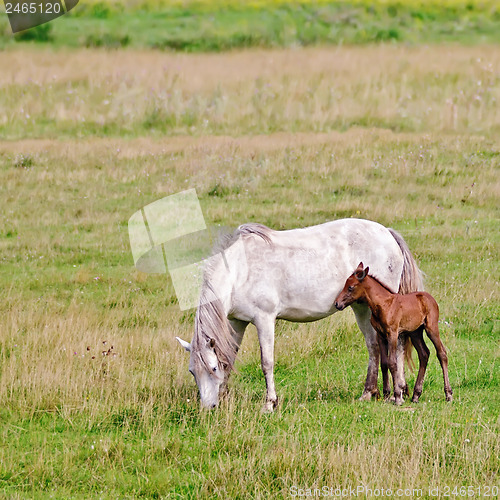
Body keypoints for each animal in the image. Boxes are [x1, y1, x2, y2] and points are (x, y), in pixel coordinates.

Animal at [176, 219, 422, 410]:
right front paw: (225, 395)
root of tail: (387, 233)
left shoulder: (264, 320)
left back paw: (398, 392)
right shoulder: (236, 322)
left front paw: (270, 403)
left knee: (397, 345)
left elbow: (267, 362)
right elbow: (229, 357)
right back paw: (369, 392)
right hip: (362, 308)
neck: (240, 270)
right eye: (192, 372)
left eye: (212, 368)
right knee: (374, 347)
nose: (208, 407)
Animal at [336, 264, 454, 404]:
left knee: (442, 353)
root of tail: (430, 298)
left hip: (431, 328)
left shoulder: (392, 333)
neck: (383, 304)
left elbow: (393, 363)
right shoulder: (380, 335)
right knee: (424, 354)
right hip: (415, 332)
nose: (337, 303)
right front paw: (386, 394)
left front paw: (397, 396)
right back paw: (416, 395)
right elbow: (384, 363)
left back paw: (448, 394)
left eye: (350, 287)